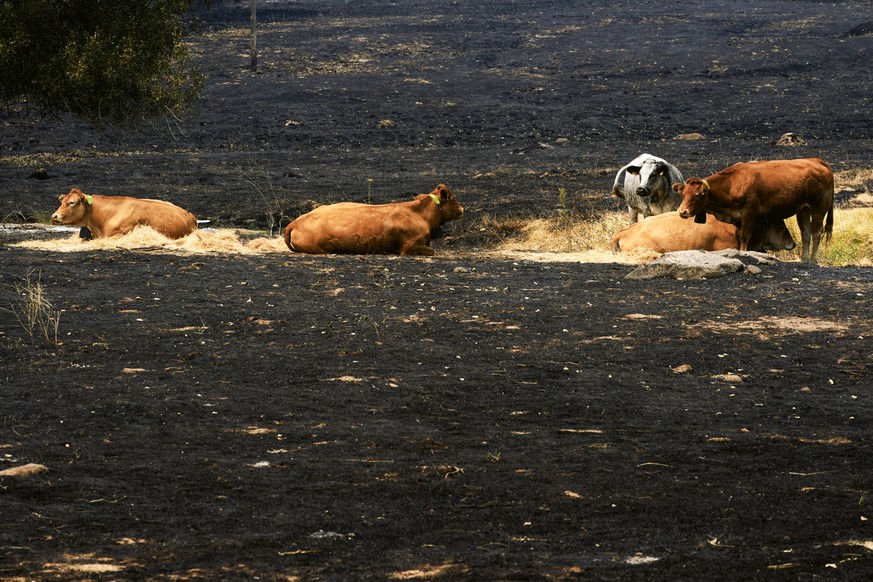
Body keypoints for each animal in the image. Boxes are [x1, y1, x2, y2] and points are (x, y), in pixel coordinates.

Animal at [673, 158, 834, 263]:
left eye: (697, 195)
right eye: (684, 194)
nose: (682, 212)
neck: (732, 183)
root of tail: (816, 161)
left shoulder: (749, 214)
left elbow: (745, 236)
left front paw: (744, 254)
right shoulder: (737, 218)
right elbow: (739, 236)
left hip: (819, 208)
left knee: (816, 232)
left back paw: (813, 260)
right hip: (803, 210)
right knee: (806, 234)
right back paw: (804, 260)